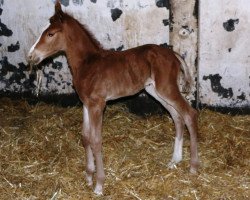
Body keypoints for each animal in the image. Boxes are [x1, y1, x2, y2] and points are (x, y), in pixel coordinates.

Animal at [27, 1, 199, 195]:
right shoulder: (86, 104)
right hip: (156, 91)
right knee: (177, 117)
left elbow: (96, 140)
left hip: (166, 88)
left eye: (50, 33)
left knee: (189, 114)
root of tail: (173, 54)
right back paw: (174, 160)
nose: (31, 56)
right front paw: (89, 176)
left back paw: (193, 166)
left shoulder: (98, 105)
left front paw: (99, 185)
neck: (87, 64)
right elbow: (85, 137)